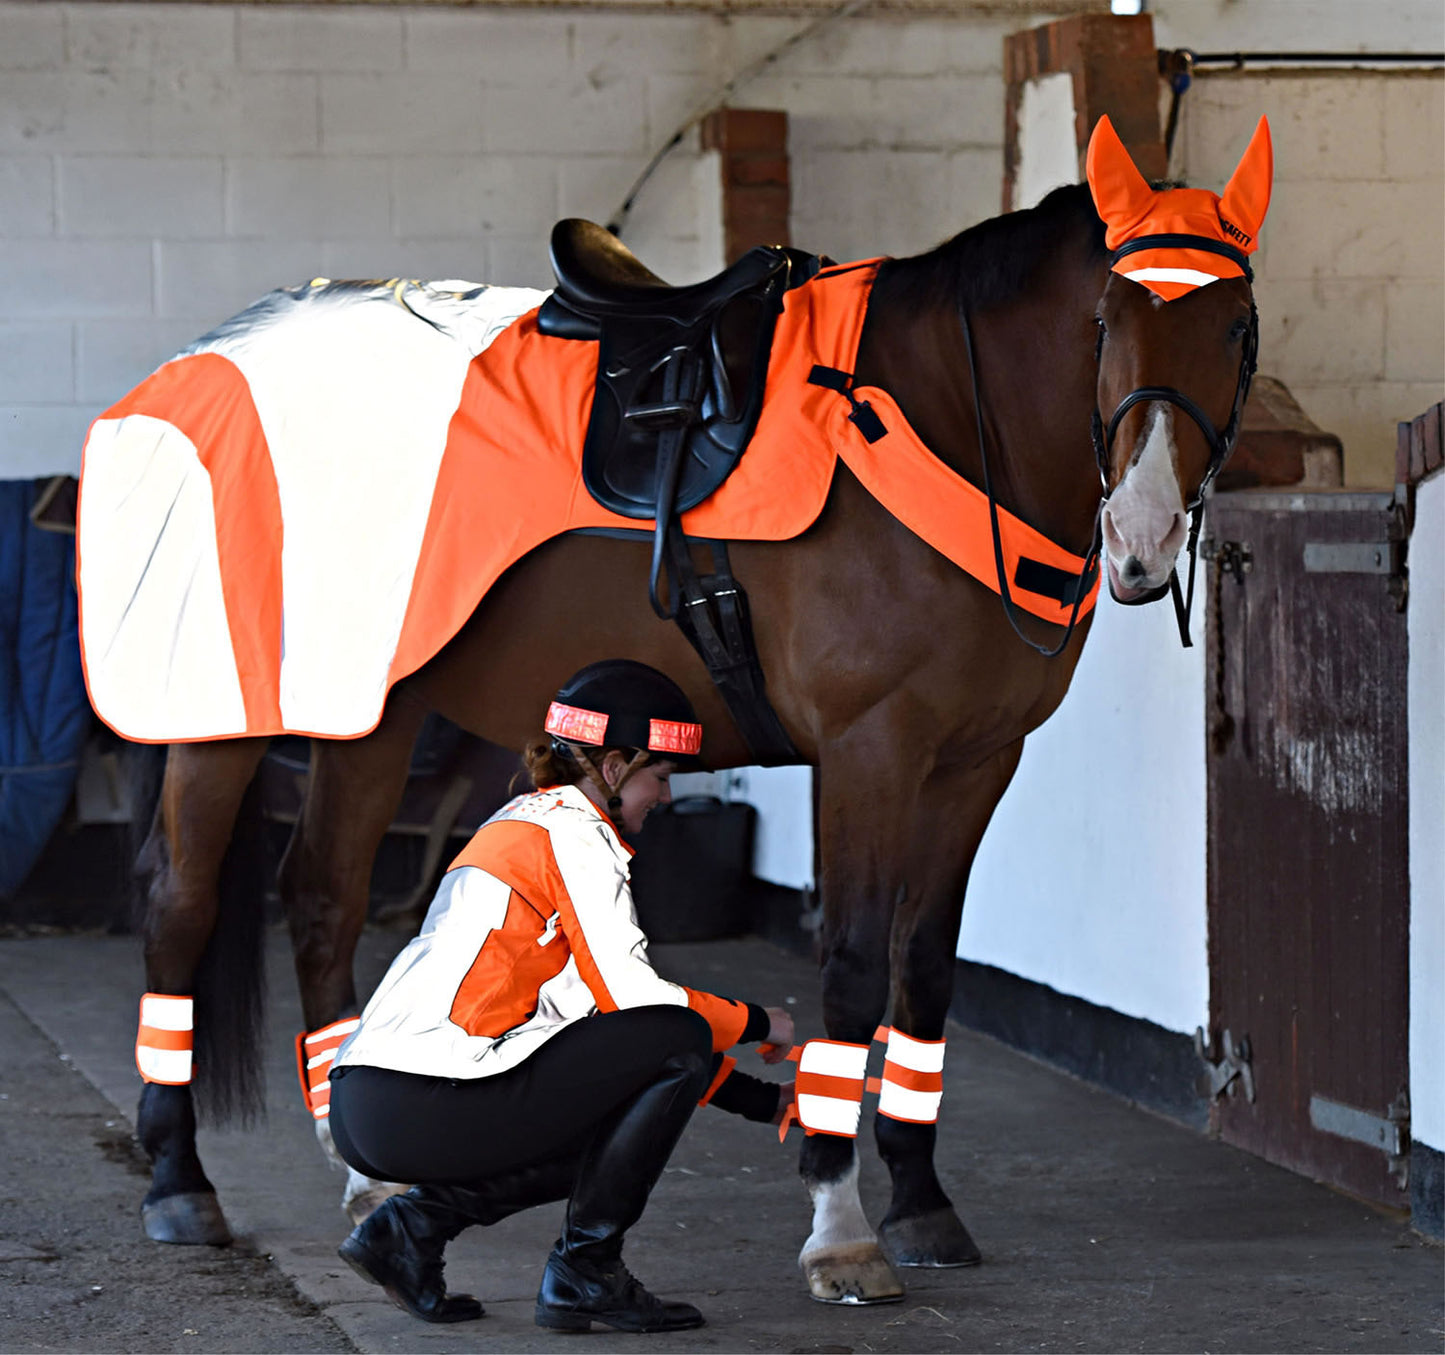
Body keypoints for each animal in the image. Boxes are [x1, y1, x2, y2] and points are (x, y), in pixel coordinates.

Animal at [130, 121, 1271, 1305]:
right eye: (1105, 318)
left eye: (1234, 326)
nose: (1142, 534)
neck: (943, 419)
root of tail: (210, 353)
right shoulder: (868, 750)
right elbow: (851, 966)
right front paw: (839, 1226)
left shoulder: (973, 760)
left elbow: (923, 967)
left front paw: (919, 1201)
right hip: (222, 714)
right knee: (181, 901)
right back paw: (179, 1180)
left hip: (372, 713)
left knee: (322, 898)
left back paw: (365, 1177)